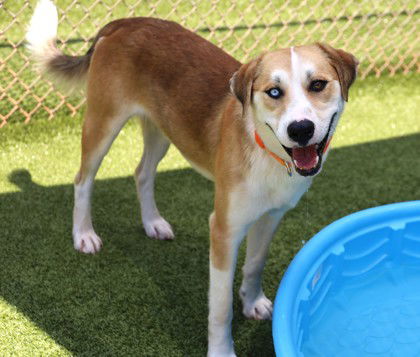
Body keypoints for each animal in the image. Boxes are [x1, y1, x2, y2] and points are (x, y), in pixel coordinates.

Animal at [26, 1, 356, 354]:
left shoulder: (272, 216)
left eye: (318, 85)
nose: (300, 129)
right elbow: (221, 307)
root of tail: (125, 22)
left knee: (142, 173)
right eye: (274, 91)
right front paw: (222, 350)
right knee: (82, 180)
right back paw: (84, 235)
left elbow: (256, 263)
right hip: (103, 121)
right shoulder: (223, 230)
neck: (266, 151)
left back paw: (153, 223)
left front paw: (252, 302)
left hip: (164, 128)